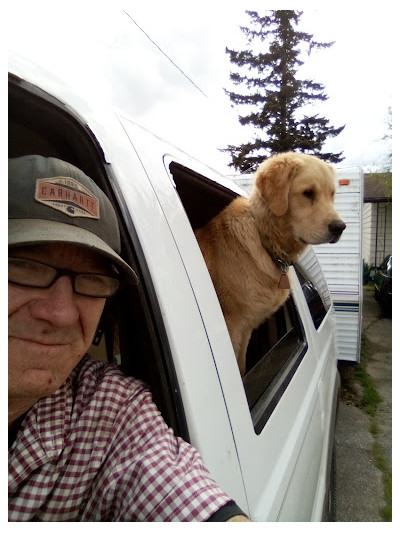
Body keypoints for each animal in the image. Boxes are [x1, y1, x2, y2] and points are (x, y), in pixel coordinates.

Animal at [195, 150, 346, 374]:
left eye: (332, 194)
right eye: (308, 193)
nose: (340, 227)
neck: (263, 236)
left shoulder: (245, 331)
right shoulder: (233, 328)